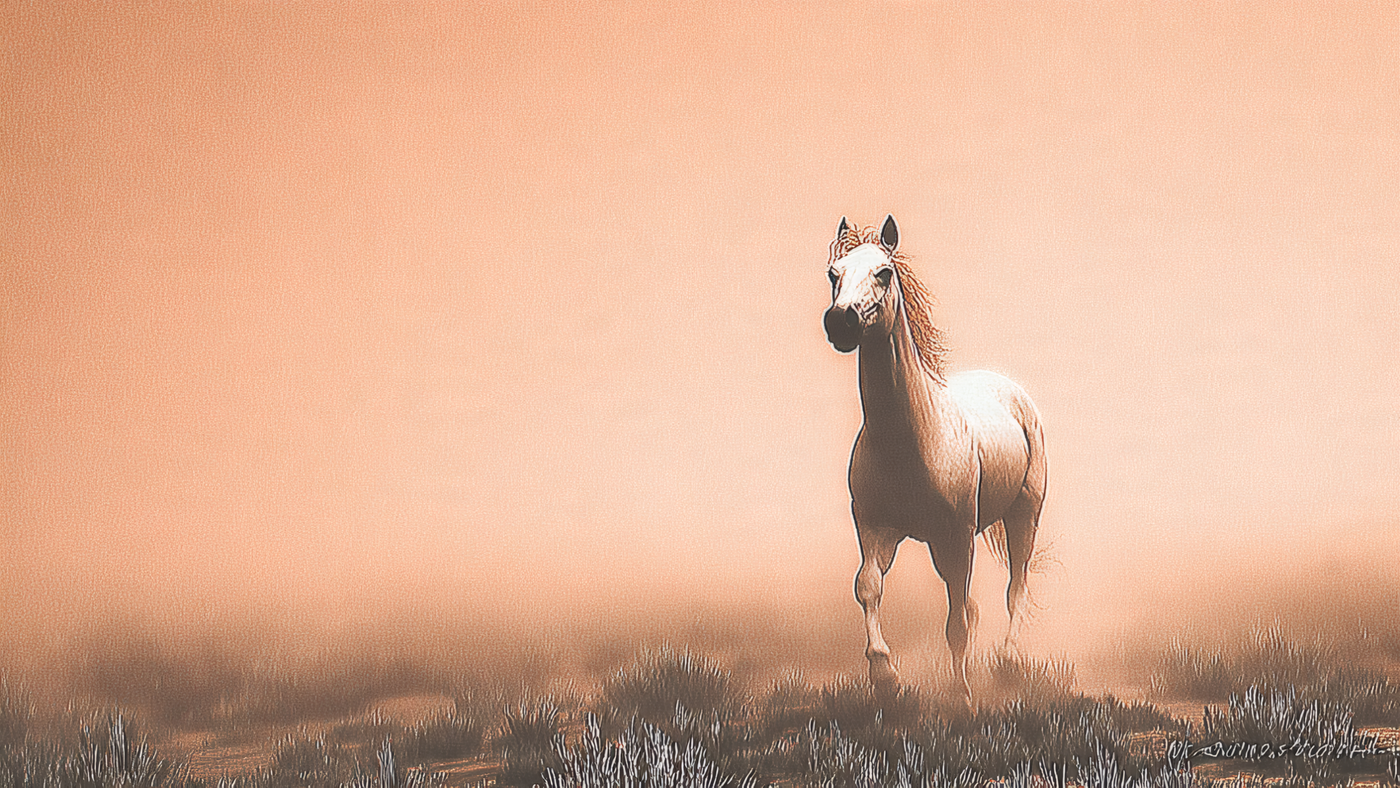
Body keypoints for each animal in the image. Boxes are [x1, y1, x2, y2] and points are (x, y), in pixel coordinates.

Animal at [822, 214, 1046, 703]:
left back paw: (1007, 663)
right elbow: (868, 587)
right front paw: (884, 674)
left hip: (1023, 515)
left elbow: (958, 620)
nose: (840, 321)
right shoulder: (875, 528)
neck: (909, 442)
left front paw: (962, 696)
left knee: (1015, 588)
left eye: (884, 272)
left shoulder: (958, 535)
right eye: (834, 274)